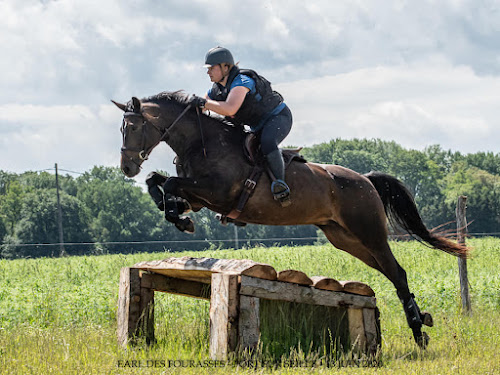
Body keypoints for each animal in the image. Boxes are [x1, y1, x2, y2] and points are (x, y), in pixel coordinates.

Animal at [113, 91, 468, 350]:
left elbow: (171, 183)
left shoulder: (217, 192)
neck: (202, 143)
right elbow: (159, 182)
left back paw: (419, 332)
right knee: (394, 273)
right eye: (122, 129)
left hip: (369, 233)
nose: (127, 168)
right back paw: (421, 322)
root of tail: (365, 179)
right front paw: (176, 213)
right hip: (346, 239)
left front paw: (179, 217)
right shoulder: (201, 197)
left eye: (133, 128)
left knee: (397, 272)